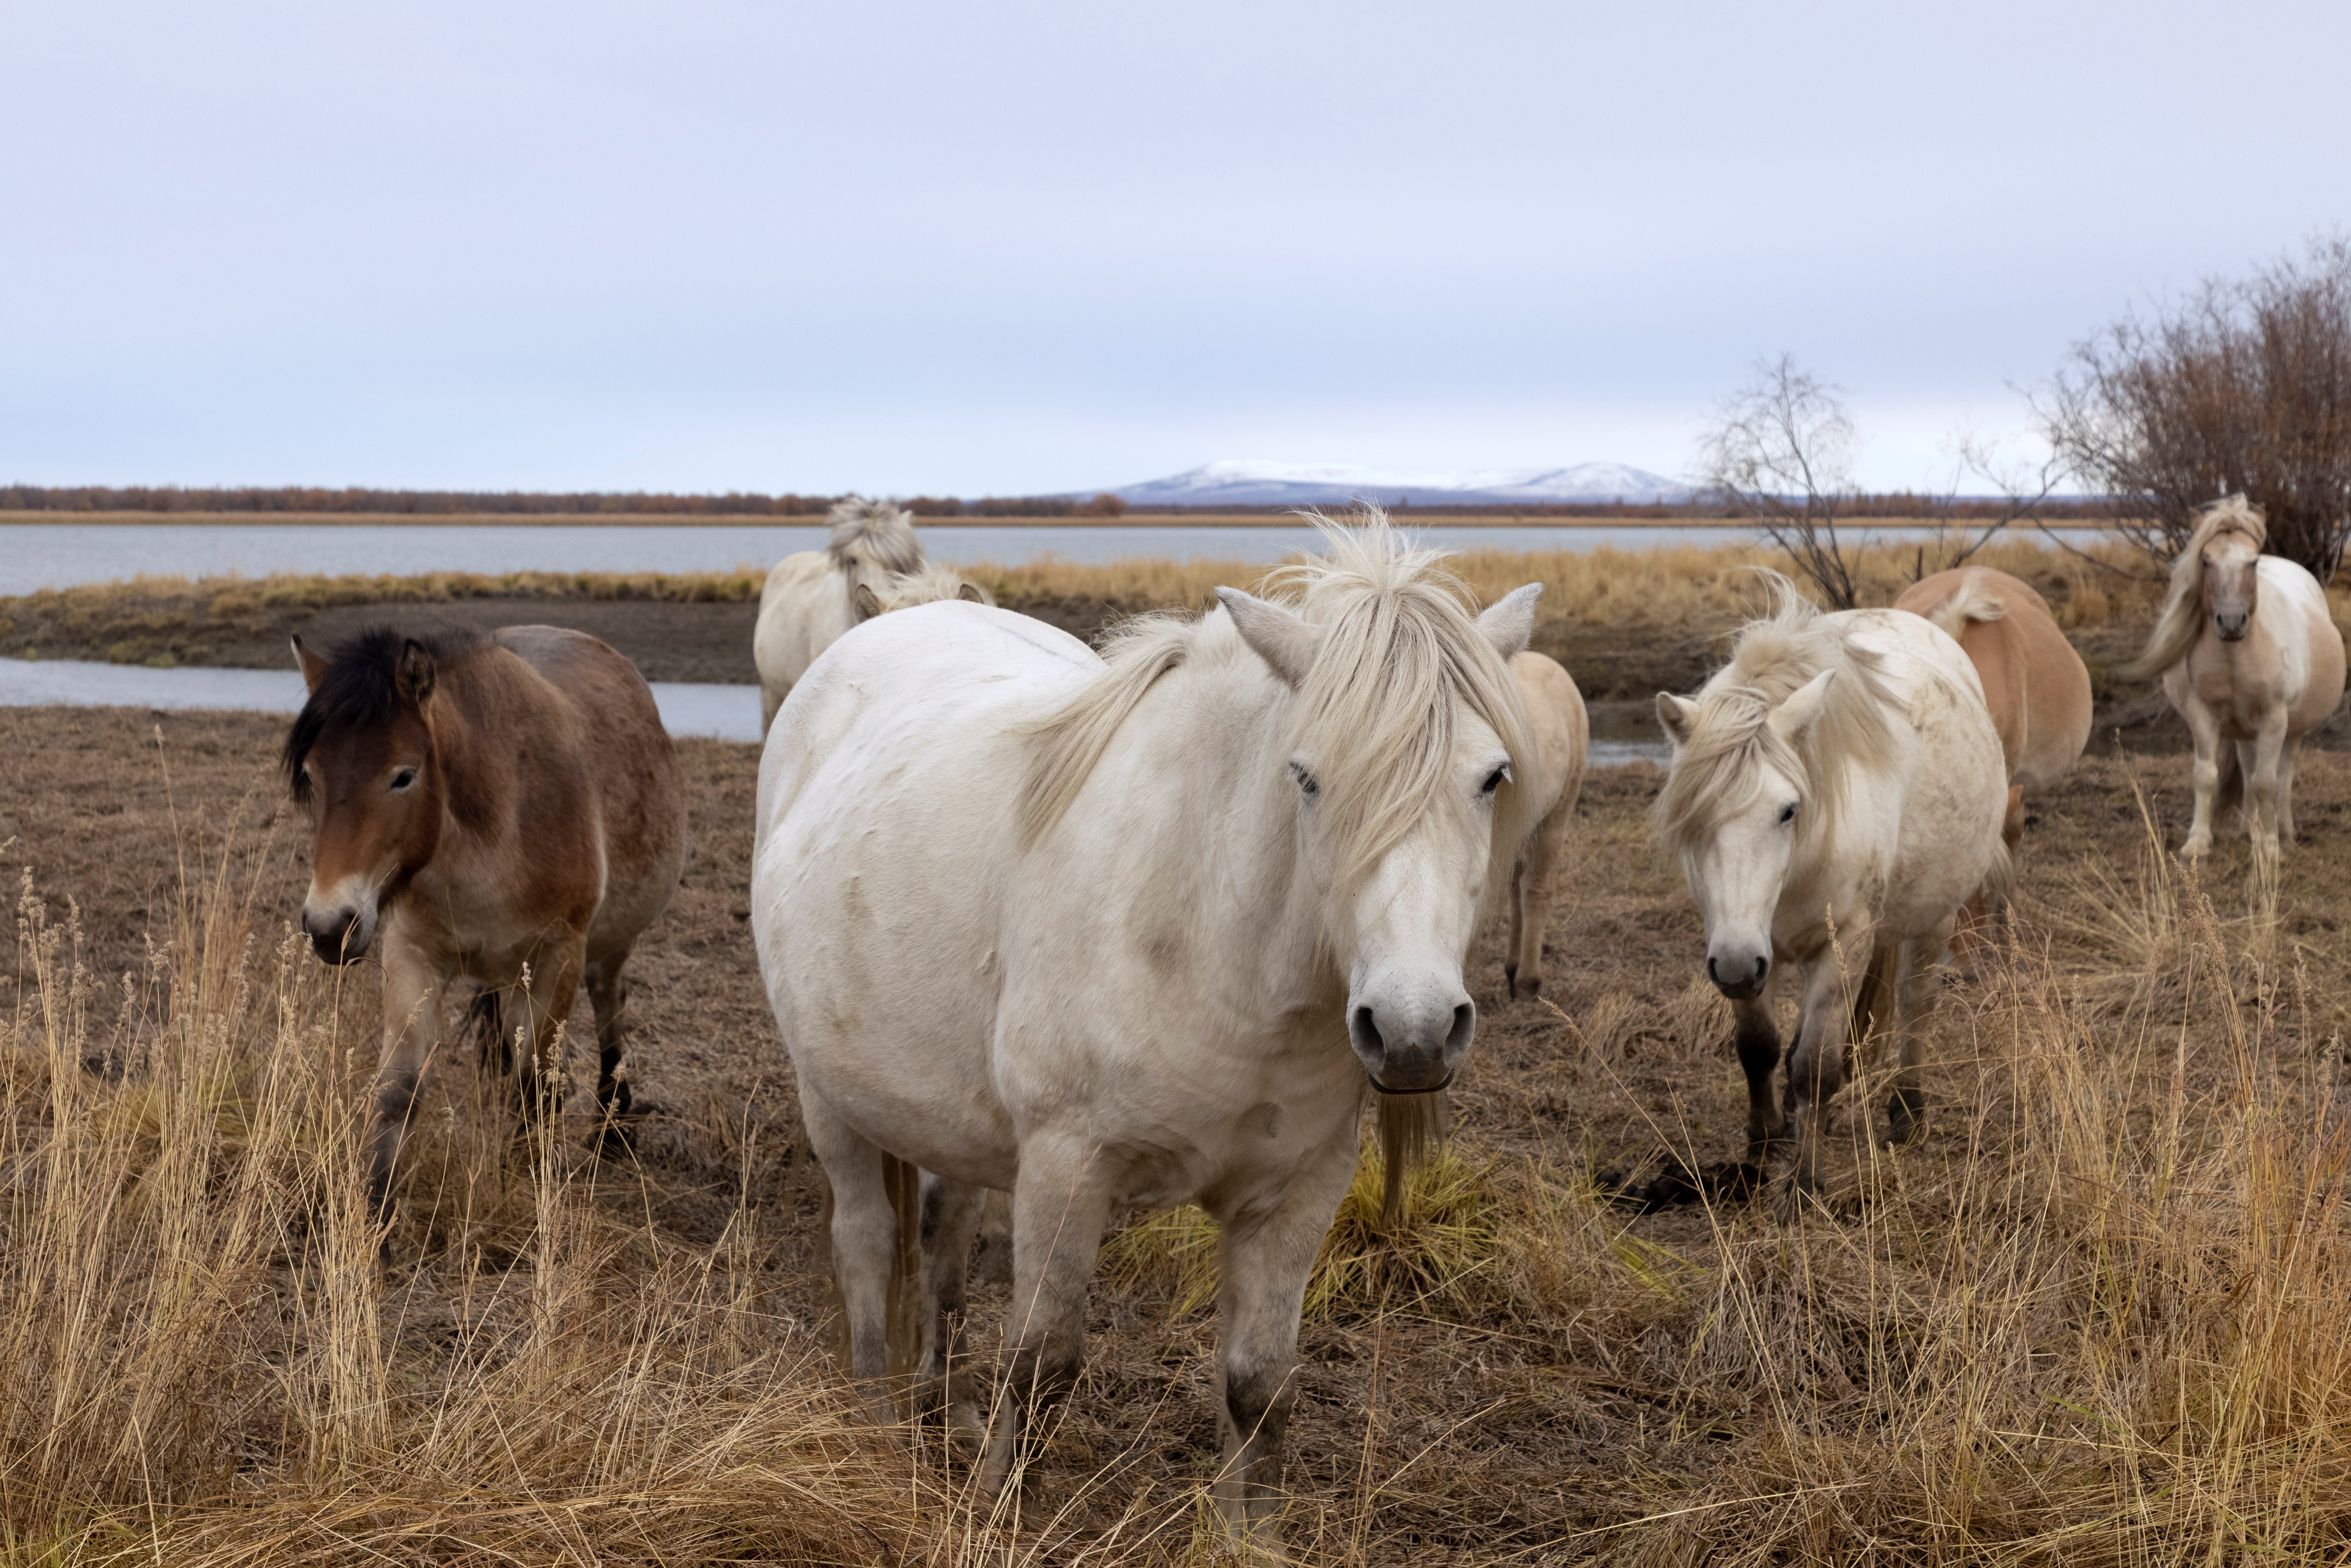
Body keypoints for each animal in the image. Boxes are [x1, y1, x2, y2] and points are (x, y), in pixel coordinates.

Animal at [283, 621, 686, 1213]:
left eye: (403, 776)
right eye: (313, 775)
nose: (329, 927)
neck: (496, 834)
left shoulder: (558, 957)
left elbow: (533, 1086)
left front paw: (523, 1180)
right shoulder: (410, 954)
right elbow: (398, 1091)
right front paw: (375, 1217)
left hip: (605, 949)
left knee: (608, 1005)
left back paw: (611, 1127)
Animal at [1655, 583, 2003, 1213]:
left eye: (1788, 809)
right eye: (1694, 818)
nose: (1738, 965)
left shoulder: (1843, 945)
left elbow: (1814, 1067)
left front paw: (1803, 1183)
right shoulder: (1740, 944)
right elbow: (1759, 1047)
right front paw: (1765, 1142)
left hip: (1935, 919)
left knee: (1916, 1008)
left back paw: (1907, 1112)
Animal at [2125, 496, 2342, 865]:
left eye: (2252, 562)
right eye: (2206, 560)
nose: (2231, 622)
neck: (2236, 656)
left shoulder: (2274, 721)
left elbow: (2267, 782)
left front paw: (2270, 846)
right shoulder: (2203, 716)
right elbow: (2207, 777)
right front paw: (2198, 844)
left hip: (2293, 730)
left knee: (2284, 775)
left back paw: (2284, 833)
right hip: (2244, 731)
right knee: (2248, 767)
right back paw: (2248, 829)